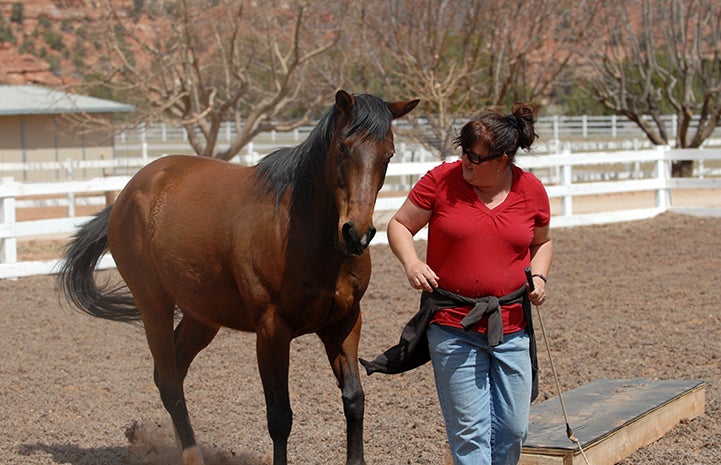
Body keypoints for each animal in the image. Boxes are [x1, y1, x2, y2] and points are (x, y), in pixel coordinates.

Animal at [59, 90, 420, 464]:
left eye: (389, 153)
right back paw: (192, 455)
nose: (356, 234)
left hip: (201, 317)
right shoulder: (272, 331)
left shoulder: (344, 322)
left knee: (170, 374)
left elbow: (354, 400)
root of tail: (129, 193)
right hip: (154, 307)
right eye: (345, 146)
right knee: (170, 383)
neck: (301, 232)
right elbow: (280, 417)